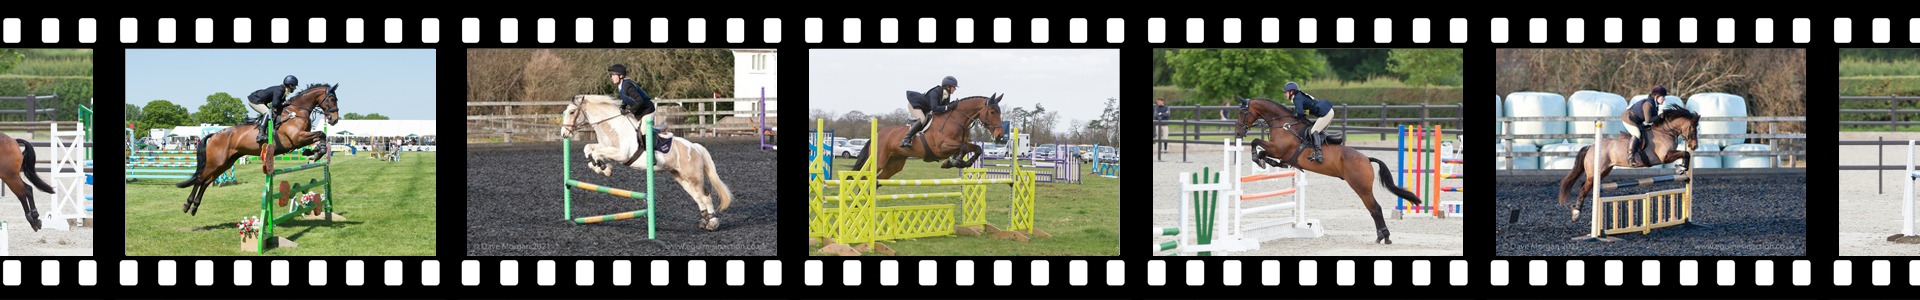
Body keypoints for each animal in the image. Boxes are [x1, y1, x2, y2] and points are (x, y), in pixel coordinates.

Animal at [176, 84, 341, 215]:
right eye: (332, 98)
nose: (334, 119)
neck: (296, 111)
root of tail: (215, 134)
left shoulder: (300, 139)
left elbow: (321, 136)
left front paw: (314, 153)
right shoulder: (297, 138)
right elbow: (321, 133)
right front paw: (316, 153)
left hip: (225, 163)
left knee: (205, 181)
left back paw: (194, 207)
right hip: (215, 162)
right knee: (200, 178)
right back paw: (187, 205)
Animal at [560, 94, 733, 230]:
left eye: (572, 112)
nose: (563, 134)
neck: (613, 127)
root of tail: (695, 147)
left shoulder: (622, 154)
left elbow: (594, 152)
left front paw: (603, 167)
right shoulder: (606, 147)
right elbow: (589, 149)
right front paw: (602, 168)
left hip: (693, 177)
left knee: (706, 196)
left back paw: (713, 224)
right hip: (681, 177)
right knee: (698, 197)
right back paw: (704, 222)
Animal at [852, 93, 1013, 178]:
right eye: (992, 112)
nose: (1000, 135)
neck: (957, 120)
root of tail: (877, 134)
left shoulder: (960, 144)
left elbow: (976, 149)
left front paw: (958, 162)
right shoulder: (941, 147)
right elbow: (963, 147)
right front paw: (954, 162)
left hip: (895, 163)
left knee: (878, 179)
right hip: (878, 161)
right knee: (864, 177)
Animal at [1228, 98, 1428, 244]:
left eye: (1242, 113)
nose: (1237, 133)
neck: (1283, 124)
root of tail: (1366, 159)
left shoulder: (1278, 149)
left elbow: (1256, 142)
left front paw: (1259, 159)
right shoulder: (1278, 151)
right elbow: (1263, 150)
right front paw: (1267, 162)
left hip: (1361, 187)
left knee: (1375, 208)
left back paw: (1384, 237)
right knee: (1373, 209)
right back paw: (1381, 236)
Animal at [1551, 105, 1704, 223]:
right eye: (1692, 128)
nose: (1694, 145)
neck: (1665, 132)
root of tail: (1591, 147)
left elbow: (1686, 154)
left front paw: (1681, 168)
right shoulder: (1665, 157)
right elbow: (1685, 153)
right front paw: (1681, 168)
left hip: (1604, 171)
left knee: (1587, 186)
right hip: (1596, 172)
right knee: (1584, 188)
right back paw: (1576, 214)